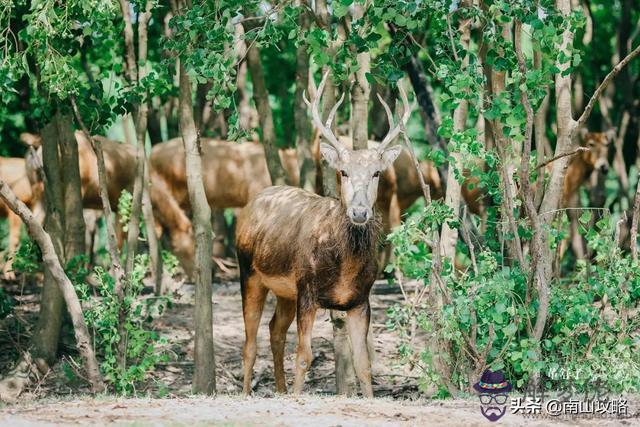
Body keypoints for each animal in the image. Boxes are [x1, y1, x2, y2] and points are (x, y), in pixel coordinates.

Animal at [235, 72, 410, 396]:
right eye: (343, 171)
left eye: (377, 173)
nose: (359, 212)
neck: (344, 268)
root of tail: (252, 203)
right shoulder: (307, 288)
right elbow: (304, 356)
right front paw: (297, 396)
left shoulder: (360, 299)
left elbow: (364, 365)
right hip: (248, 271)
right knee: (250, 343)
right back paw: (247, 393)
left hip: (284, 292)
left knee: (275, 330)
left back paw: (279, 390)